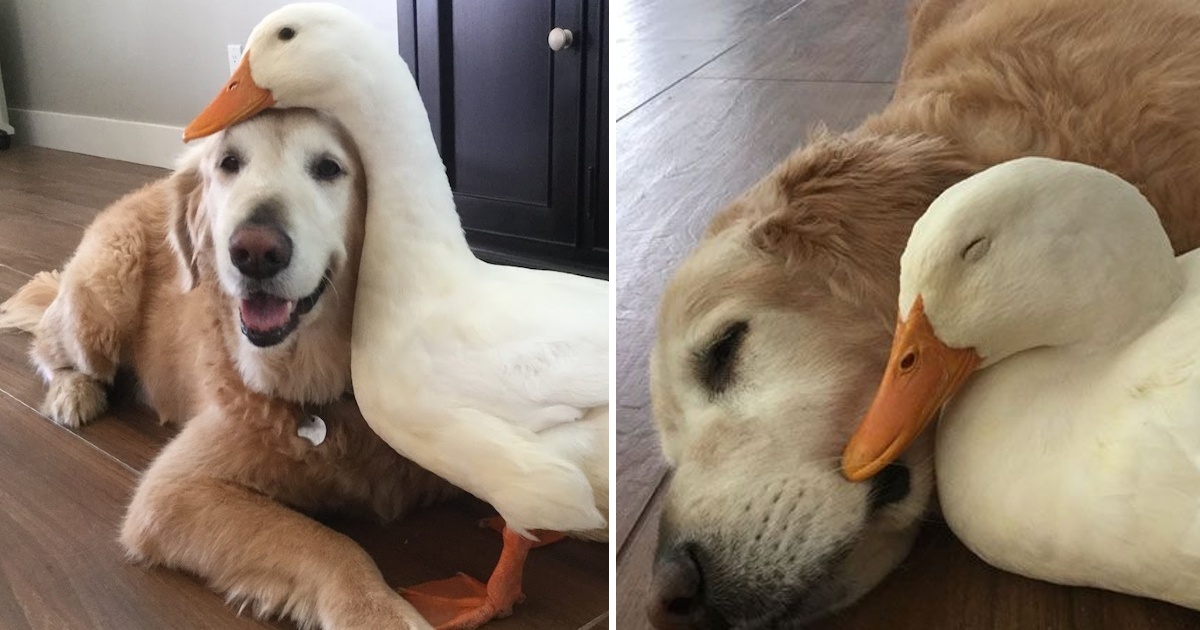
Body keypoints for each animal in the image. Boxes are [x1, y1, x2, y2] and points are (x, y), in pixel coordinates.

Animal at [0, 109, 453, 628]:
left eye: (329, 168)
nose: (254, 251)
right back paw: (73, 393)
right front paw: (378, 612)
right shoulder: (172, 492)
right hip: (101, 303)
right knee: (50, 346)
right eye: (229, 163)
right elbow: (330, 544)